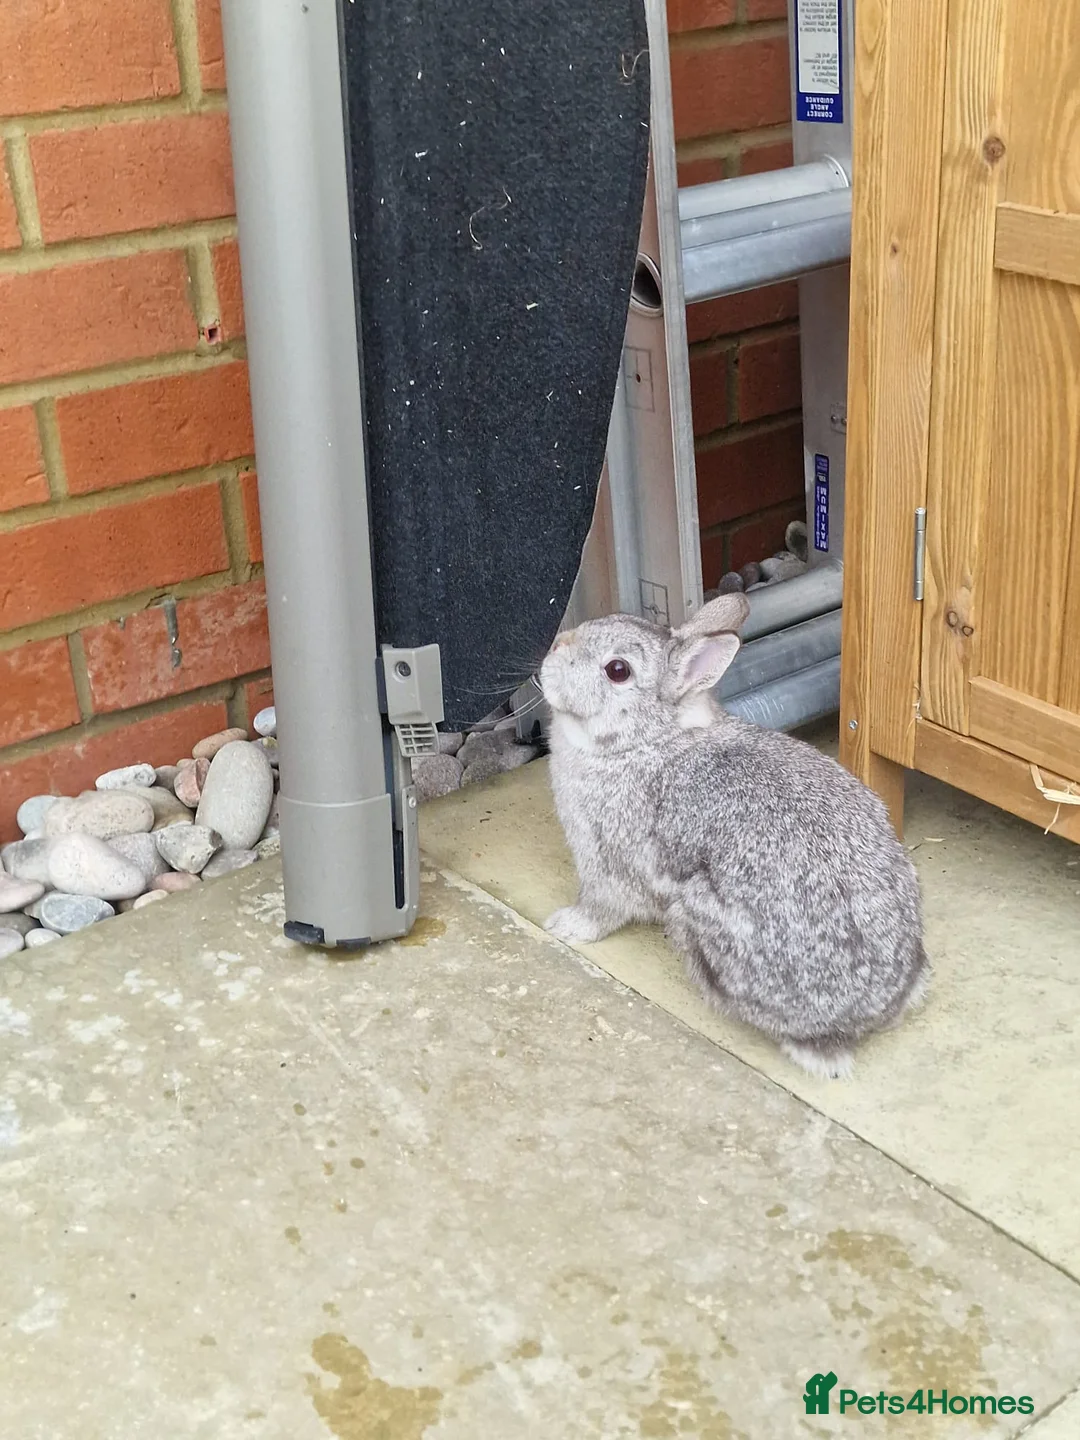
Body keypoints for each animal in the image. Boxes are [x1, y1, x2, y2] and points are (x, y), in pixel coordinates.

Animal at [538, 593, 928, 1079]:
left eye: (617, 670)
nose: (556, 648)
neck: (646, 740)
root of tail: (863, 1015)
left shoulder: (608, 860)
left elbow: (600, 908)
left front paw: (564, 926)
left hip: (700, 915)